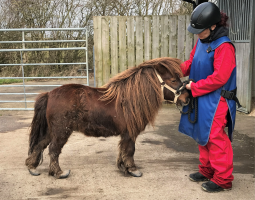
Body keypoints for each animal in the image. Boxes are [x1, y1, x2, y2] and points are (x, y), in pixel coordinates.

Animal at [25, 57, 189, 179]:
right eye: (173, 80)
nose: (187, 98)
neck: (130, 99)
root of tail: (49, 94)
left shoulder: (125, 134)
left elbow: (123, 149)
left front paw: (123, 167)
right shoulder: (130, 133)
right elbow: (130, 150)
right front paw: (132, 169)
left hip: (51, 131)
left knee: (40, 145)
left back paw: (32, 167)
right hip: (61, 132)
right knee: (53, 149)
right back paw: (58, 172)